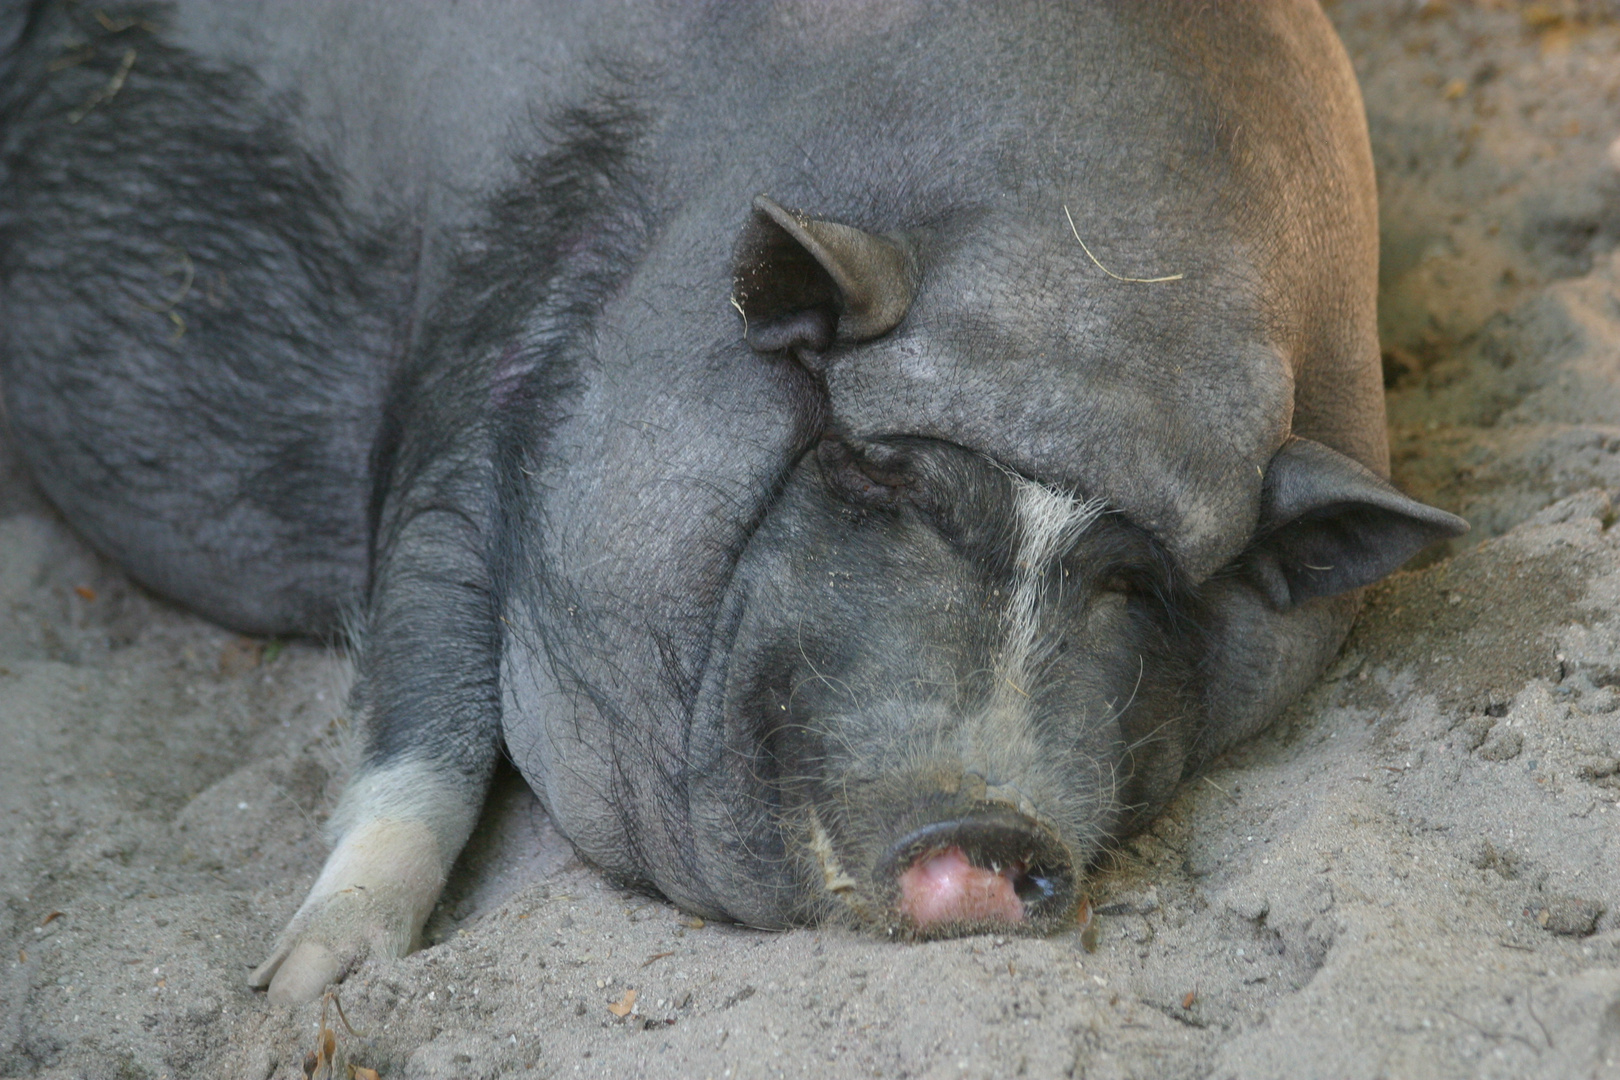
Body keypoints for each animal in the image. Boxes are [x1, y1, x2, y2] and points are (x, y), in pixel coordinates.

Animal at [0, 0, 1470, 1003]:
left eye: (1141, 578)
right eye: (879, 470)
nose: (989, 821)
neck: (1097, 269)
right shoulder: (489, 374)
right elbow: (426, 688)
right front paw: (300, 995)